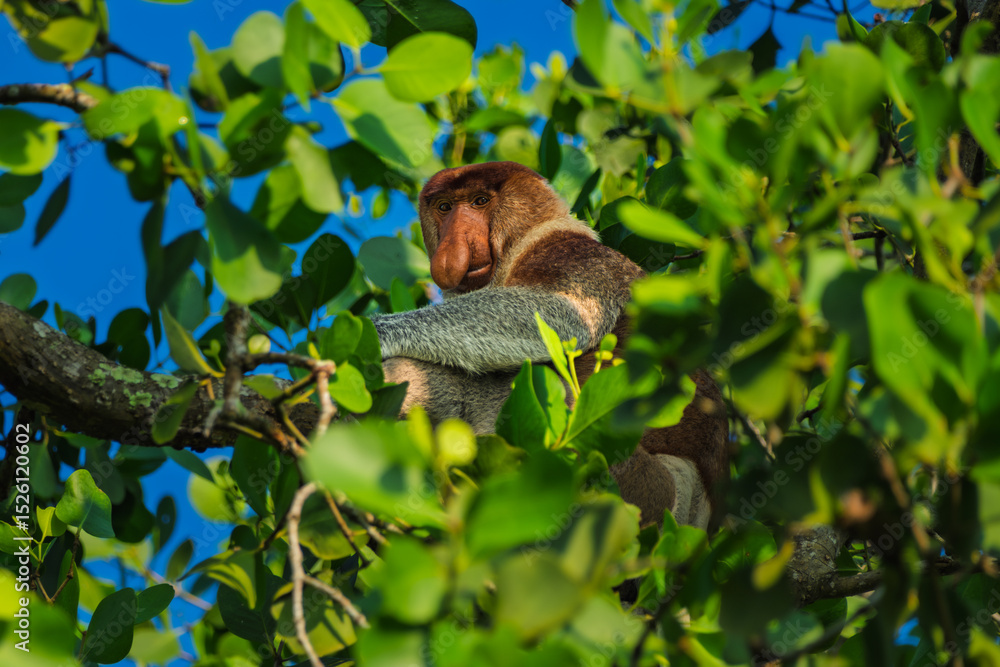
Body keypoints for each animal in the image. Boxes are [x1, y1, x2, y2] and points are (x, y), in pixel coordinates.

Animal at [369, 161, 728, 531]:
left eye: (479, 201)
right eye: (444, 207)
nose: (453, 244)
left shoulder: (572, 255)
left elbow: (559, 313)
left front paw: (377, 331)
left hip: (635, 482)